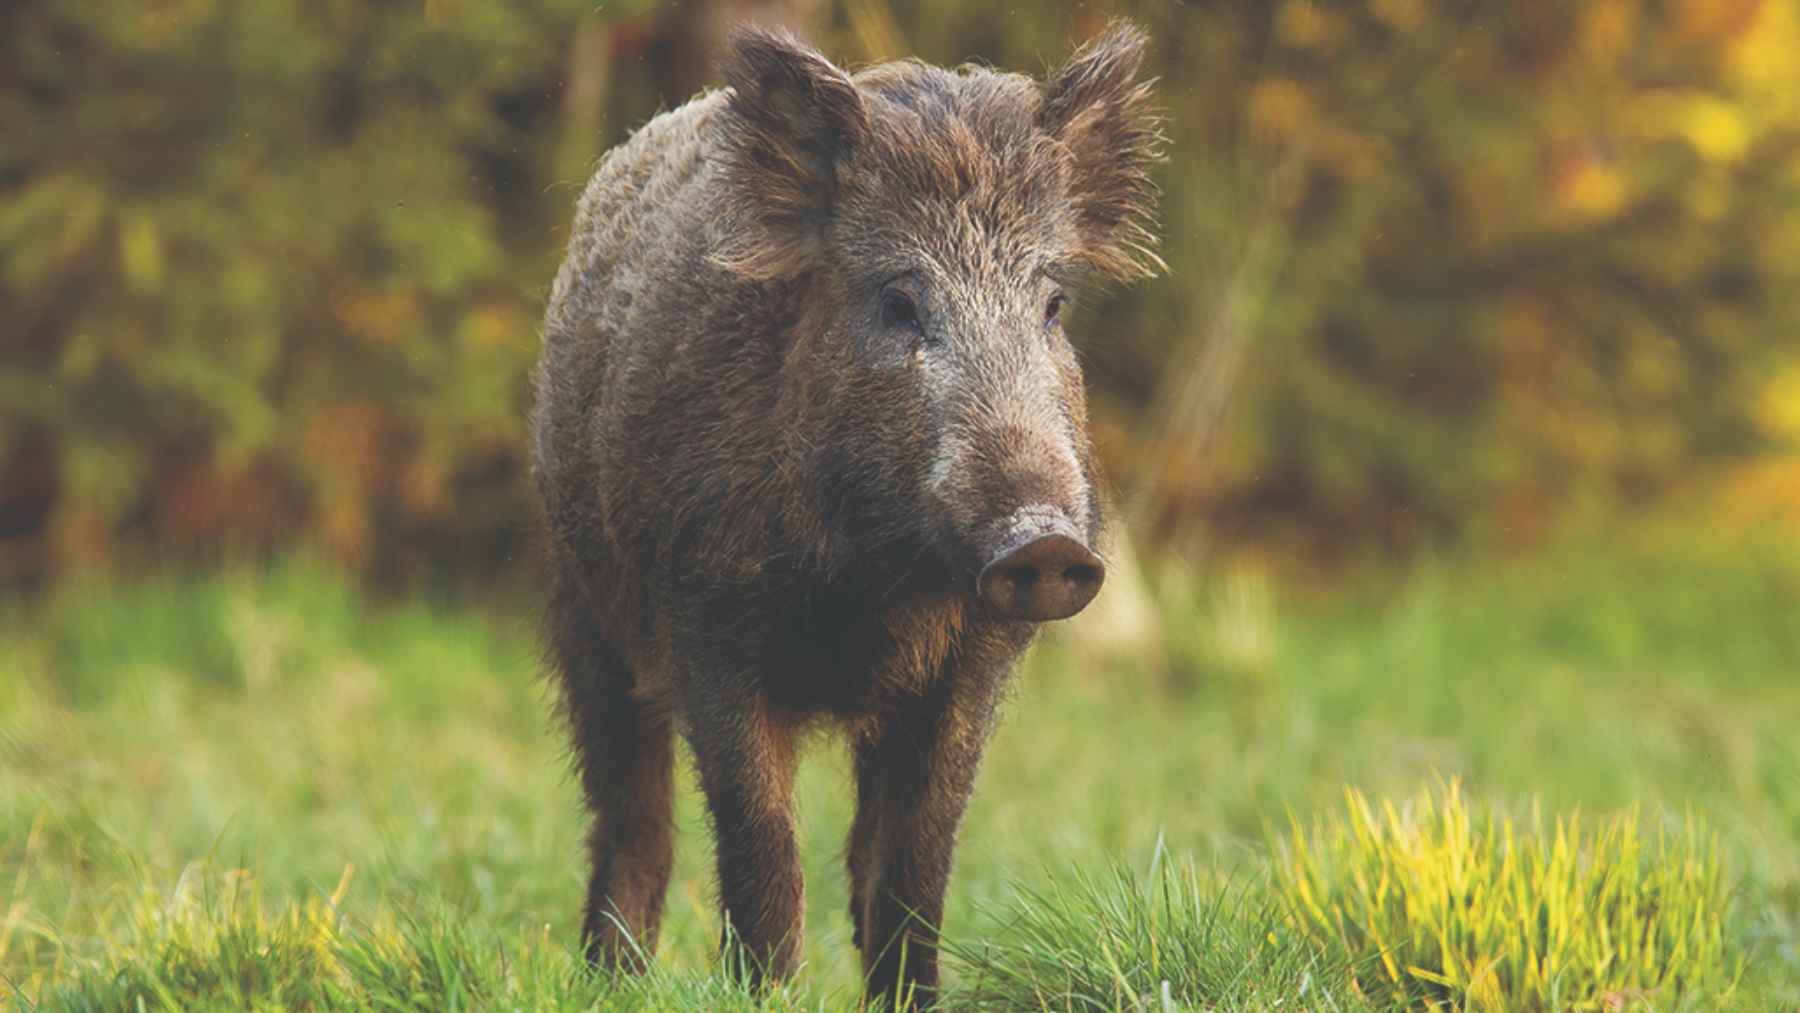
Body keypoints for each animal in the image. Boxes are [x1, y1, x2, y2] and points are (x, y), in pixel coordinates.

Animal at [530, 19, 1163, 1003]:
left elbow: (915, 866)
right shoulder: (707, 622)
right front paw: (765, 992)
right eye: (899, 301)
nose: (1044, 541)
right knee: (631, 814)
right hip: (583, 609)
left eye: (1053, 305)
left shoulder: (974, 664)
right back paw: (610, 981)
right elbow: (763, 853)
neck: (880, 584)